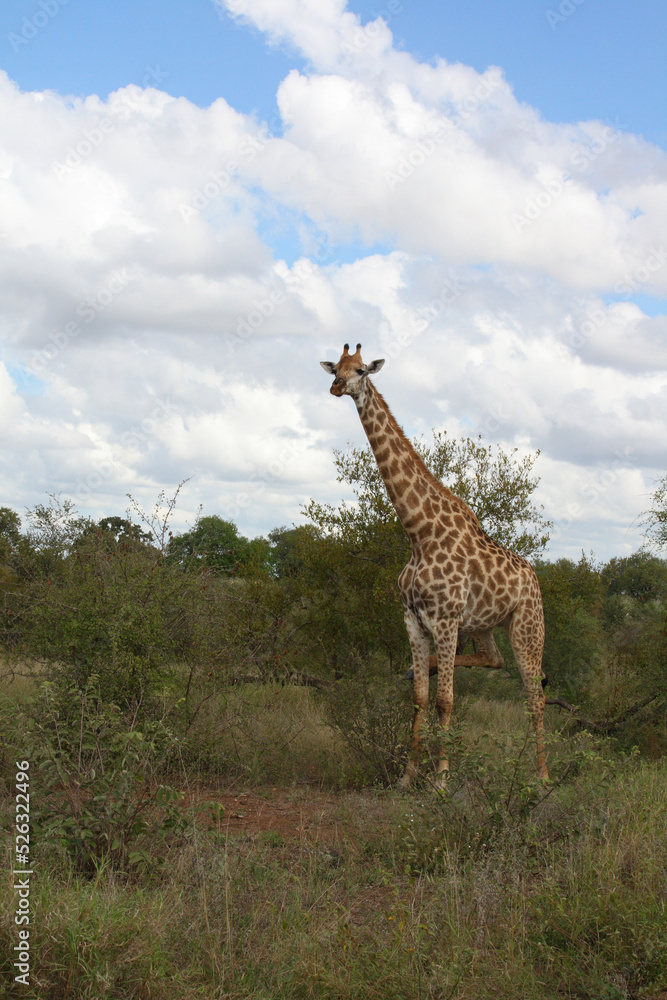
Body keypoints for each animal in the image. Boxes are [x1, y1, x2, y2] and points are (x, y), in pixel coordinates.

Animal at [320, 343, 549, 786]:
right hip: (481, 626)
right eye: (334, 366)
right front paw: (408, 775)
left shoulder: (444, 618)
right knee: (494, 660)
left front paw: (441, 778)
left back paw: (542, 777)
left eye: (361, 369)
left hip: (527, 627)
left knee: (536, 697)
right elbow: (421, 698)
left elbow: (445, 699)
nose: (337, 386)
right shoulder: (413, 617)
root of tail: (533, 577)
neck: (418, 533)